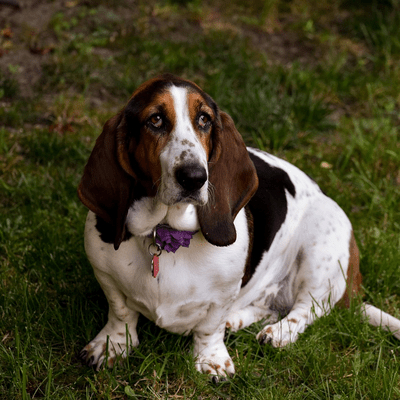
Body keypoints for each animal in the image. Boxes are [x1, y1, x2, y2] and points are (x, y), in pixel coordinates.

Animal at [77, 74, 400, 378]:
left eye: (204, 119)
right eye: (155, 119)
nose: (194, 177)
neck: (166, 233)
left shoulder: (223, 293)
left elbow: (210, 326)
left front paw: (211, 361)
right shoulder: (104, 274)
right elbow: (120, 312)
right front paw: (112, 345)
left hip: (322, 250)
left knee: (308, 309)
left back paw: (279, 333)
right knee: (273, 306)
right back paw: (239, 319)